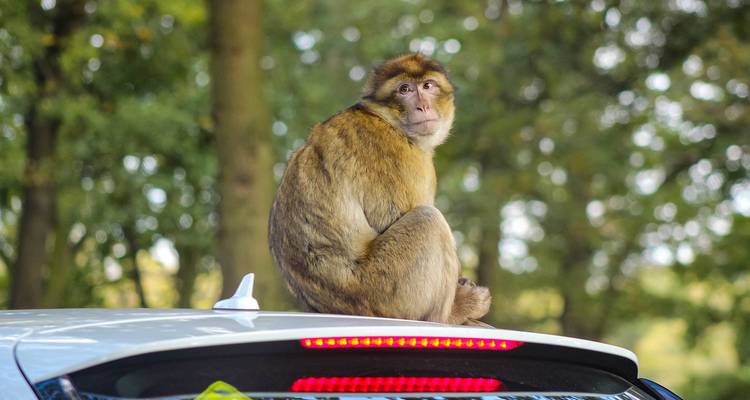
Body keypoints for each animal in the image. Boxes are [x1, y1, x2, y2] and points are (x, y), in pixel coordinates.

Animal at [268, 54, 491, 325]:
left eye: (428, 85)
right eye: (404, 89)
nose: (423, 106)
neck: (387, 120)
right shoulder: (395, 154)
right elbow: (391, 217)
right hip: (388, 292)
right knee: (428, 220)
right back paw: (454, 312)